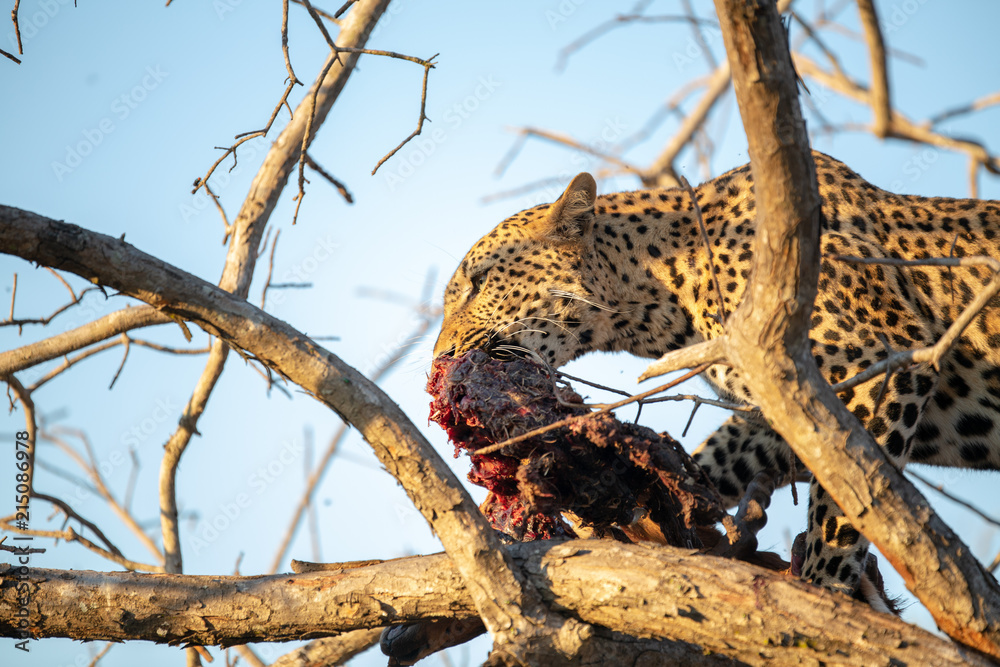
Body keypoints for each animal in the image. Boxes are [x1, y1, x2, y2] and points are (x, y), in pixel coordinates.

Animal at [433, 151, 1000, 602]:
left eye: (479, 282)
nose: (440, 359)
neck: (663, 291)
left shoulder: (875, 366)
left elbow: (845, 511)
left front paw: (823, 593)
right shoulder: (783, 406)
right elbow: (716, 462)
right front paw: (641, 512)